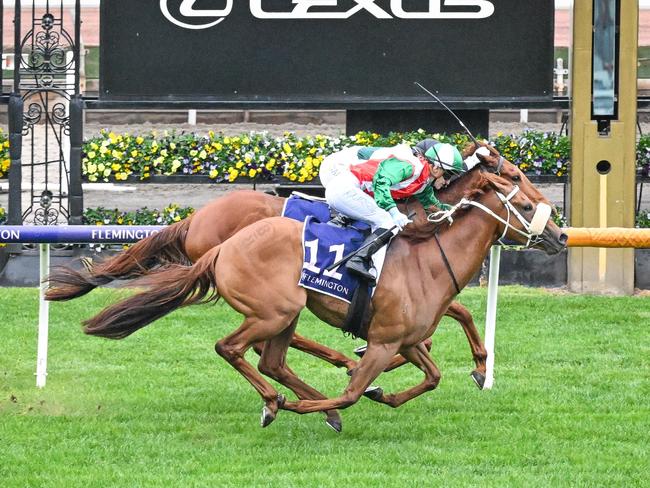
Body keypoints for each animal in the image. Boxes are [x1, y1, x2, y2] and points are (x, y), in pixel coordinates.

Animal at [74, 170, 560, 428]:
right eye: (521, 193)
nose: (559, 234)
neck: (429, 257)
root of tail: (219, 243)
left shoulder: (402, 339)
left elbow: (433, 372)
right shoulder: (385, 340)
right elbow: (353, 392)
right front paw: (325, 399)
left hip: (284, 313)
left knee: (270, 359)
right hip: (275, 311)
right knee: (233, 348)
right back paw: (278, 401)